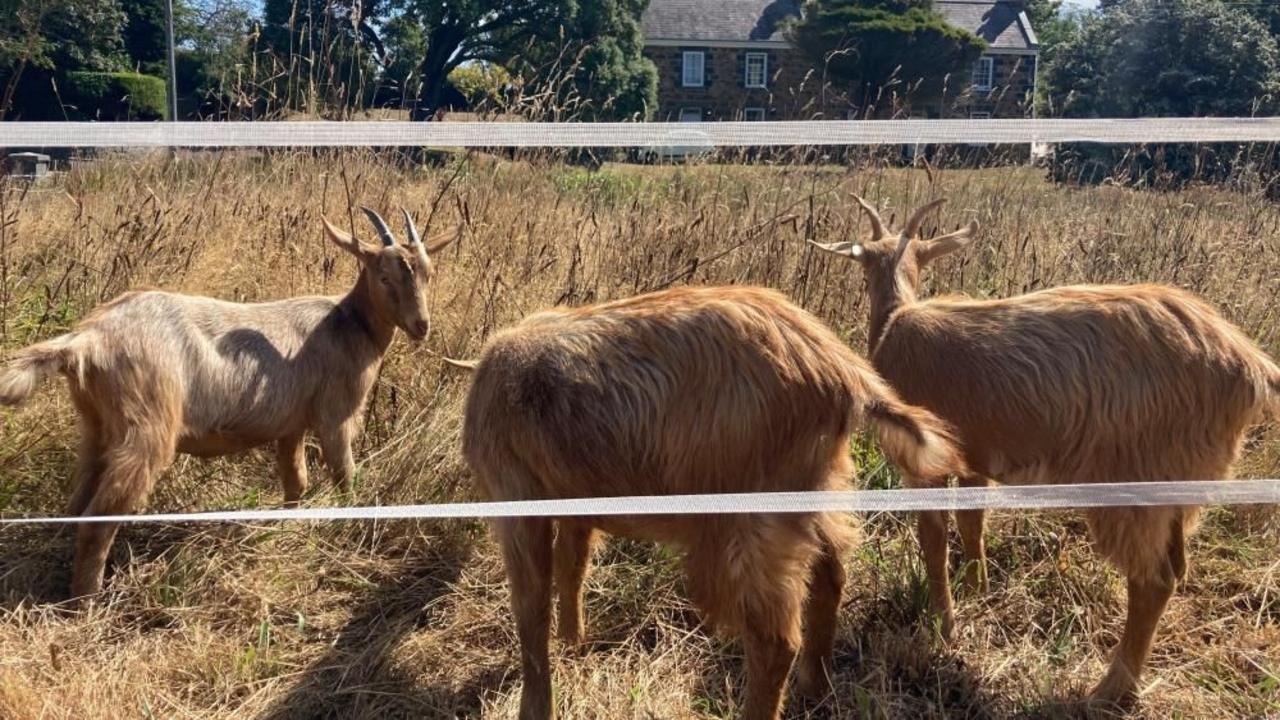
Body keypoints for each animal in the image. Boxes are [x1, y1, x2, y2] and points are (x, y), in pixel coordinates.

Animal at [0, 208, 456, 599]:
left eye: (429, 273)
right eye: (383, 275)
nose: (421, 326)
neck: (349, 324)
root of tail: (87, 340)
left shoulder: (291, 424)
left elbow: (296, 481)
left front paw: (286, 529)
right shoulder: (335, 414)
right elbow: (345, 476)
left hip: (96, 424)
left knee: (79, 503)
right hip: (147, 424)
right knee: (101, 516)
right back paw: (87, 603)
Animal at [458, 285, 968, 720]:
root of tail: (844, 372)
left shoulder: (516, 496)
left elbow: (531, 604)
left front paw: (537, 704)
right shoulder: (574, 501)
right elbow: (572, 565)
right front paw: (573, 644)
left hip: (748, 515)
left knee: (775, 637)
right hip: (820, 485)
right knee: (830, 573)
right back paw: (814, 690)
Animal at [809, 196, 1280, 705]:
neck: (896, 321)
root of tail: (1250, 365)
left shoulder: (924, 464)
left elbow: (933, 540)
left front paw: (944, 625)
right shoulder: (975, 457)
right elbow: (972, 523)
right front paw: (976, 588)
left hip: (1134, 480)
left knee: (1152, 581)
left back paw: (1108, 691)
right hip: (1178, 488)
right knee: (1176, 565)